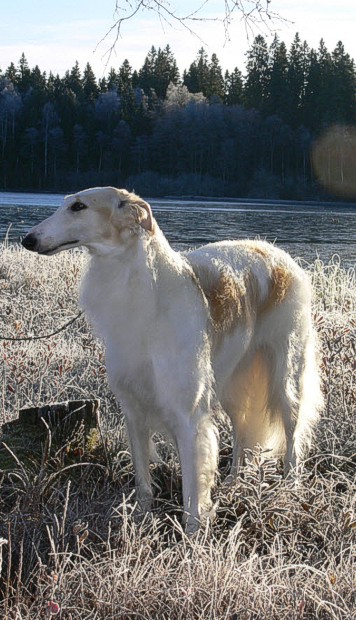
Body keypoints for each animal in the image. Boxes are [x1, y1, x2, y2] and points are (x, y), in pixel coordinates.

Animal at [21, 188, 322, 532]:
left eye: (79, 206)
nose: (27, 239)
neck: (145, 294)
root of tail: (279, 254)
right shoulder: (134, 409)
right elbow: (143, 481)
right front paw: (141, 522)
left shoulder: (189, 414)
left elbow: (193, 490)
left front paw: (191, 538)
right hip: (233, 385)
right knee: (243, 434)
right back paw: (233, 485)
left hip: (286, 378)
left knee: (293, 435)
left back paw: (290, 489)